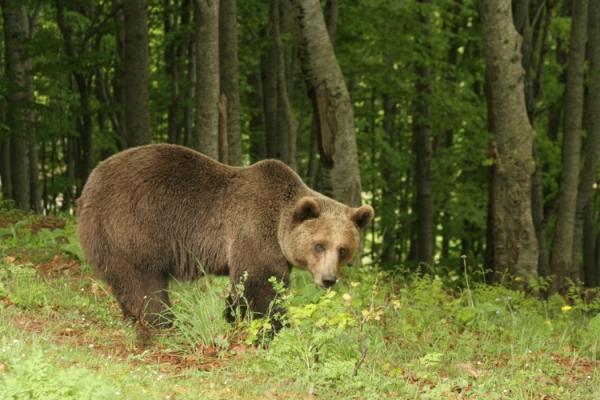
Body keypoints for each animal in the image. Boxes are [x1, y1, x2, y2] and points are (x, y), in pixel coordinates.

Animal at [77, 144, 372, 328]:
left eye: (343, 249)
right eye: (319, 245)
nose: (329, 279)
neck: (279, 225)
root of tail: (90, 182)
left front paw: (232, 315)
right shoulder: (254, 230)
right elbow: (260, 284)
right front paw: (273, 324)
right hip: (134, 226)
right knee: (144, 281)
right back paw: (163, 320)